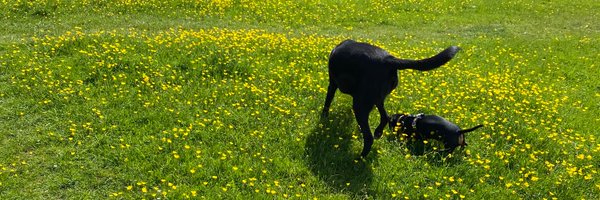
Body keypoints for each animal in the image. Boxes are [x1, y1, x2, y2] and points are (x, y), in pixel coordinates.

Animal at [324, 39, 460, 158]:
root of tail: (388, 59)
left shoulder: (332, 84)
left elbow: (327, 102)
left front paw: (323, 119)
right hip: (377, 99)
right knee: (385, 117)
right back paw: (378, 133)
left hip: (360, 104)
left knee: (369, 137)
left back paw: (359, 158)